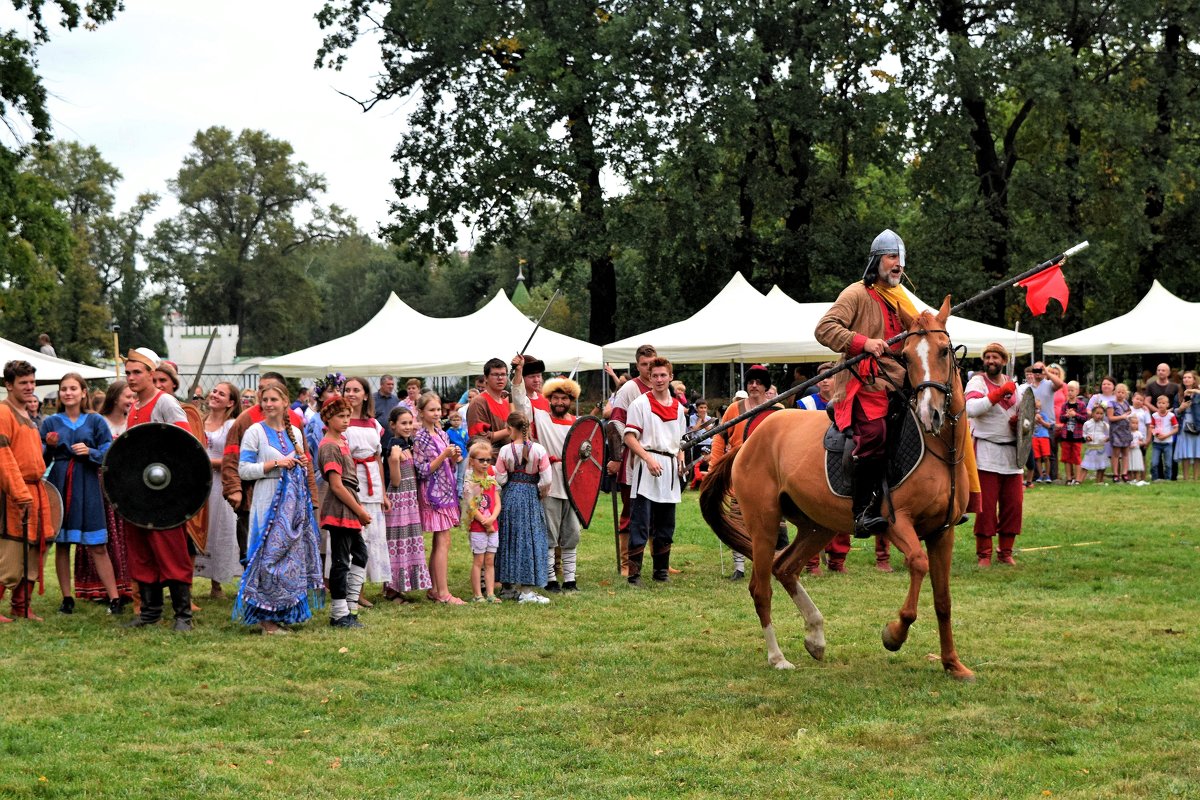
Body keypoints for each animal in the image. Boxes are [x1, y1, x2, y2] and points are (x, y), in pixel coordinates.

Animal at [700, 297, 974, 681]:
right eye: (905, 356)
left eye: (944, 350)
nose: (929, 413)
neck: (939, 449)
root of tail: (748, 441)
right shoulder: (894, 523)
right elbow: (917, 565)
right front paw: (894, 634)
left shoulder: (942, 532)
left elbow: (943, 600)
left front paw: (952, 663)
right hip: (764, 523)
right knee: (761, 588)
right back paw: (778, 657)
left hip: (817, 526)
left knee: (785, 568)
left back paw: (815, 636)